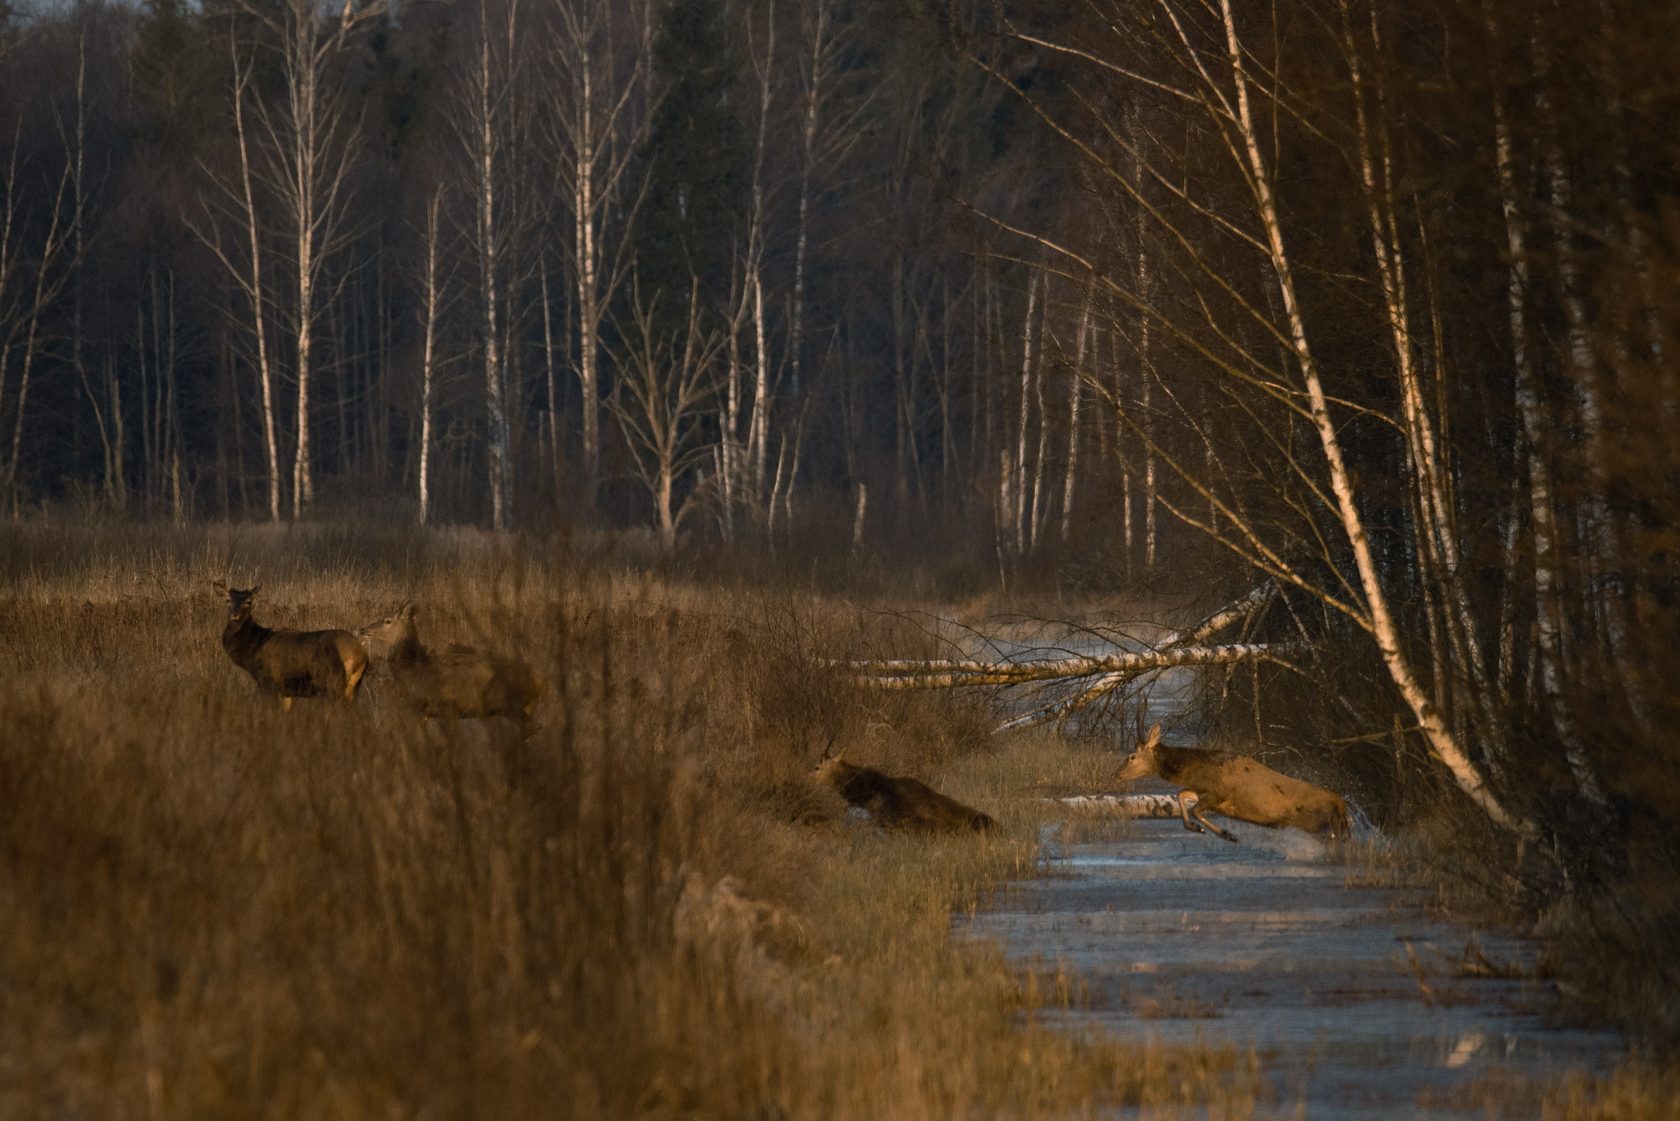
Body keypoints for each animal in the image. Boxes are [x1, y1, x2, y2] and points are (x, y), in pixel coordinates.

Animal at [213, 578, 367, 709]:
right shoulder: (285, 690)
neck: (252, 650)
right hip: (354, 686)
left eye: (249, 601)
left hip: (334, 683)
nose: (235, 614)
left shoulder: (267, 681)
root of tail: (360, 655)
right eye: (228, 600)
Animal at [357, 601, 540, 739]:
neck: (415, 671)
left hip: (512, 704)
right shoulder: (425, 711)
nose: (363, 629)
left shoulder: (447, 707)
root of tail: (539, 682)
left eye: (388, 620)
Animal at [1115, 729, 1350, 840]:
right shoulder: (1203, 791)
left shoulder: (1218, 794)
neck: (1194, 769)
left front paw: (1226, 834)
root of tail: (1342, 805)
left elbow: (1194, 809)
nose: (1116, 774)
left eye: (1132, 756)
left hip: (1323, 824)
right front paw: (1196, 828)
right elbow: (1182, 794)